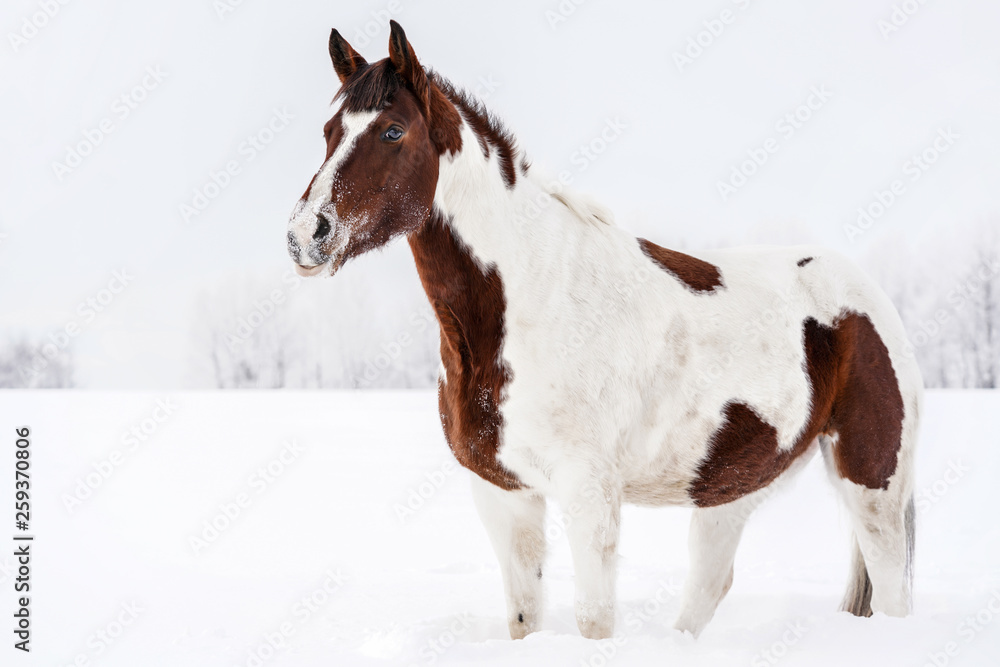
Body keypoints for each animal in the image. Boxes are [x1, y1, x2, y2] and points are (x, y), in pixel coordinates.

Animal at [286, 21, 920, 641]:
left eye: (393, 131)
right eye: (328, 131)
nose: (305, 235)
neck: (529, 303)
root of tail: (865, 296)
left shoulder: (587, 491)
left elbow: (594, 621)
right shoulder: (503, 491)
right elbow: (524, 621)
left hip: (872, 485)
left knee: (892, 594)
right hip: (732, 487)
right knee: (709, 586)